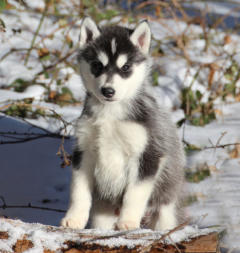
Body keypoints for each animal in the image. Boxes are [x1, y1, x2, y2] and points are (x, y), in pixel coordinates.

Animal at [61, 17, 185, 231]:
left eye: (125, 67)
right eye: (97, 65)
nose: (108, 91)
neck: (110, 114)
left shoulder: (147, 155)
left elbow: (134, 194)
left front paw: (128, 222)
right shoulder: (84, 151)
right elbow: (79, 191)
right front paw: (74, 218)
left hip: (166, 209)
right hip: (103, 213)